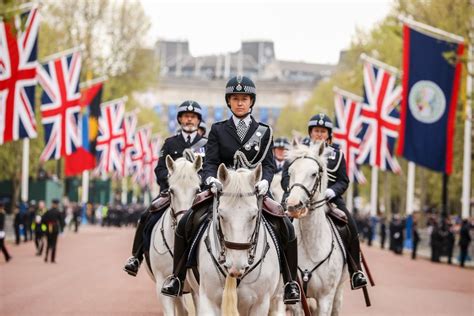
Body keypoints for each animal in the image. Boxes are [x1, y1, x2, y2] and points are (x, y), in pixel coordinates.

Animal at [284, 143, 346, 316]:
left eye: (313, 174)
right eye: (290, 172)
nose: (293, 205)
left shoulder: (326, 298)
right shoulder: (298, 299)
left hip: (338, 293)